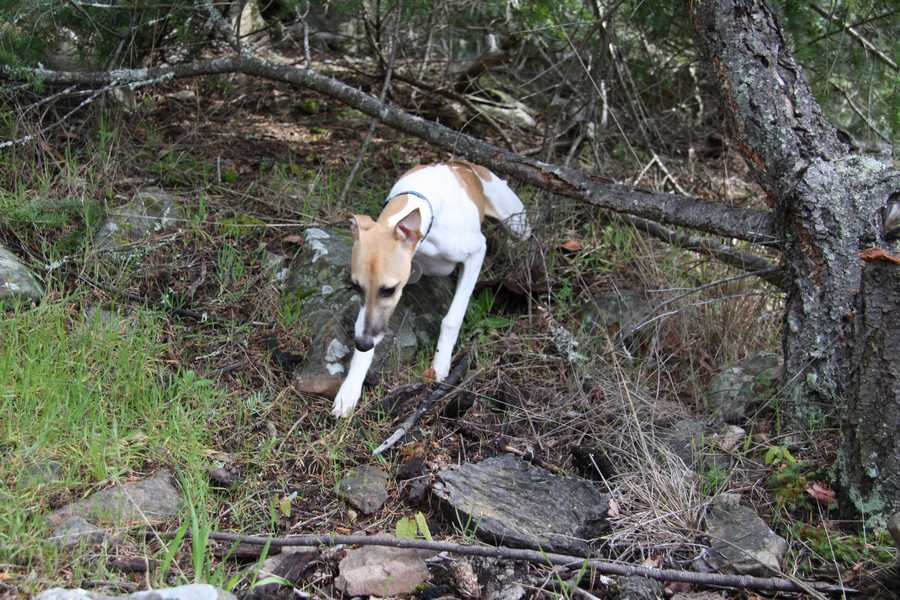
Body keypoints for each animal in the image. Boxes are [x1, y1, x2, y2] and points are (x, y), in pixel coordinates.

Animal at [331, 160, 531, 417]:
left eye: (389, 290)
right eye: (356, 286)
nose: (363, 344)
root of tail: (464, 164)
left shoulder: (476, 253)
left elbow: (452, 319)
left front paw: (440, 365)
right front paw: (349, 390)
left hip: (518, 223)